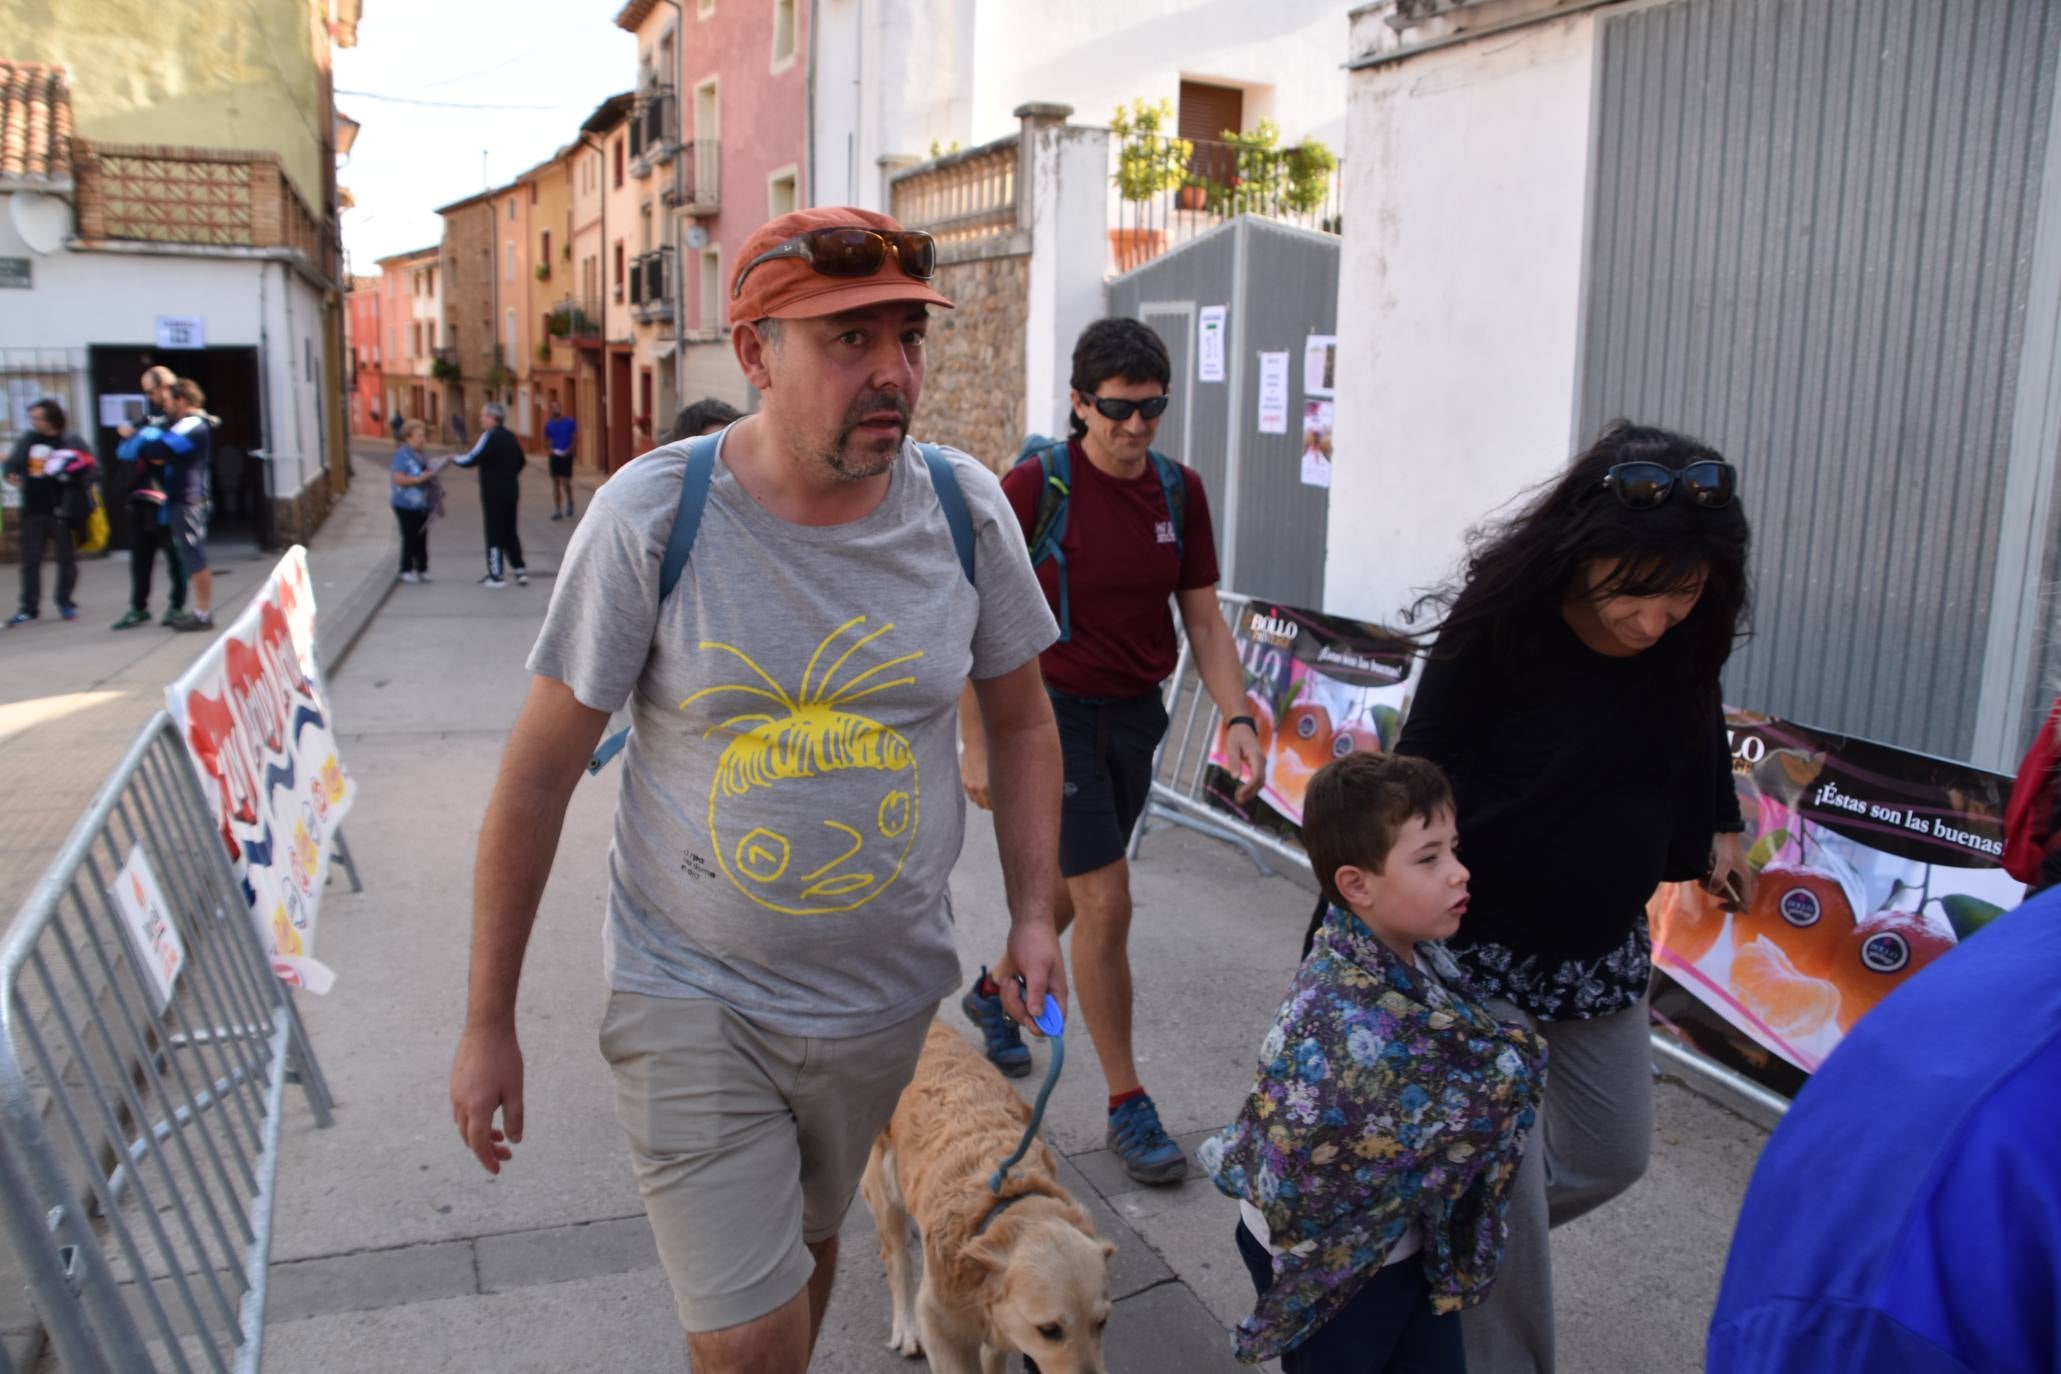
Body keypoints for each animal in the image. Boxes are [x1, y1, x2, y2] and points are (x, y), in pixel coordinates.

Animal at [857, 1021, 1112, 1374]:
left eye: (1101, 1322)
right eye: (1049, 1331)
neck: (1003, 1203)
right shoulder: (939, 1324)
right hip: (884, 1182)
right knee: (896, 1257)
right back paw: (906, 1328)